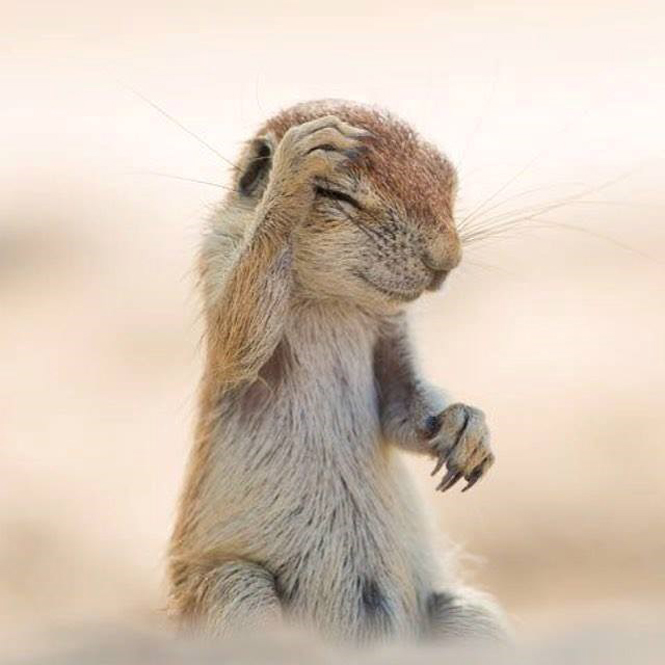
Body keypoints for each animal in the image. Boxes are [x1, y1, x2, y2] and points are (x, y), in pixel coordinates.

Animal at [166, 98, 504, 644]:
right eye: (333, 193)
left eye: (447, 175)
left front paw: (467, 426)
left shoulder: (391, 328)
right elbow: (239, 338)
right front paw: (293, 169)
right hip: (234, 588)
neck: (332, 300)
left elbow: (402, 404)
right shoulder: (217, 258)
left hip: (469, 612)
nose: (447, 260)